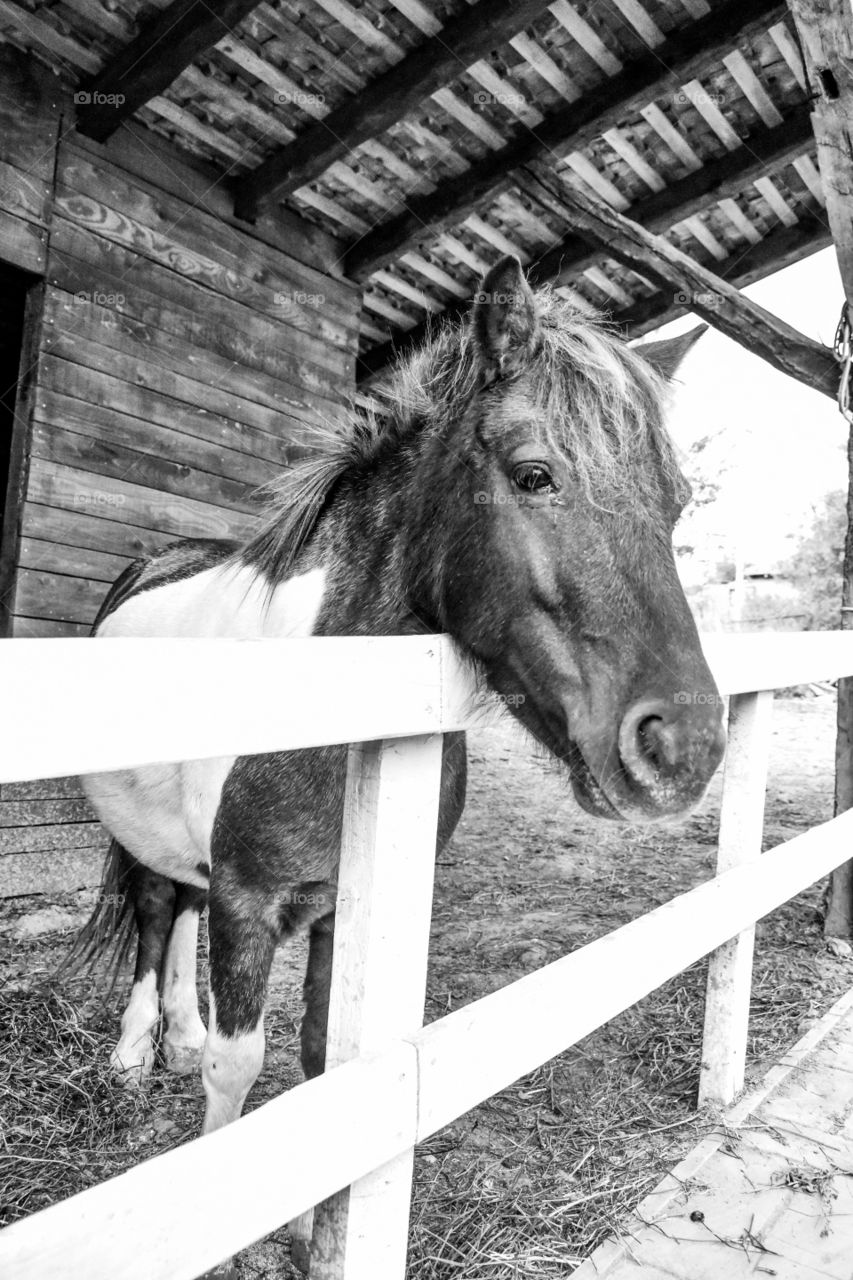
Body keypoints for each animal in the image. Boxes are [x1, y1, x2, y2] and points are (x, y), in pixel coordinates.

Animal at [75, 256, 725, 1275]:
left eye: (676, 502)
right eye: (533, 473)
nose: (682, 746)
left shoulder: (343, 903)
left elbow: (320, 1063)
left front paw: (314, 1227)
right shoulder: (250, 901)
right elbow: (240, 1067)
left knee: (174, 907)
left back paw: (173, 1034)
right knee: (150, 909)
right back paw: (140, 1049)